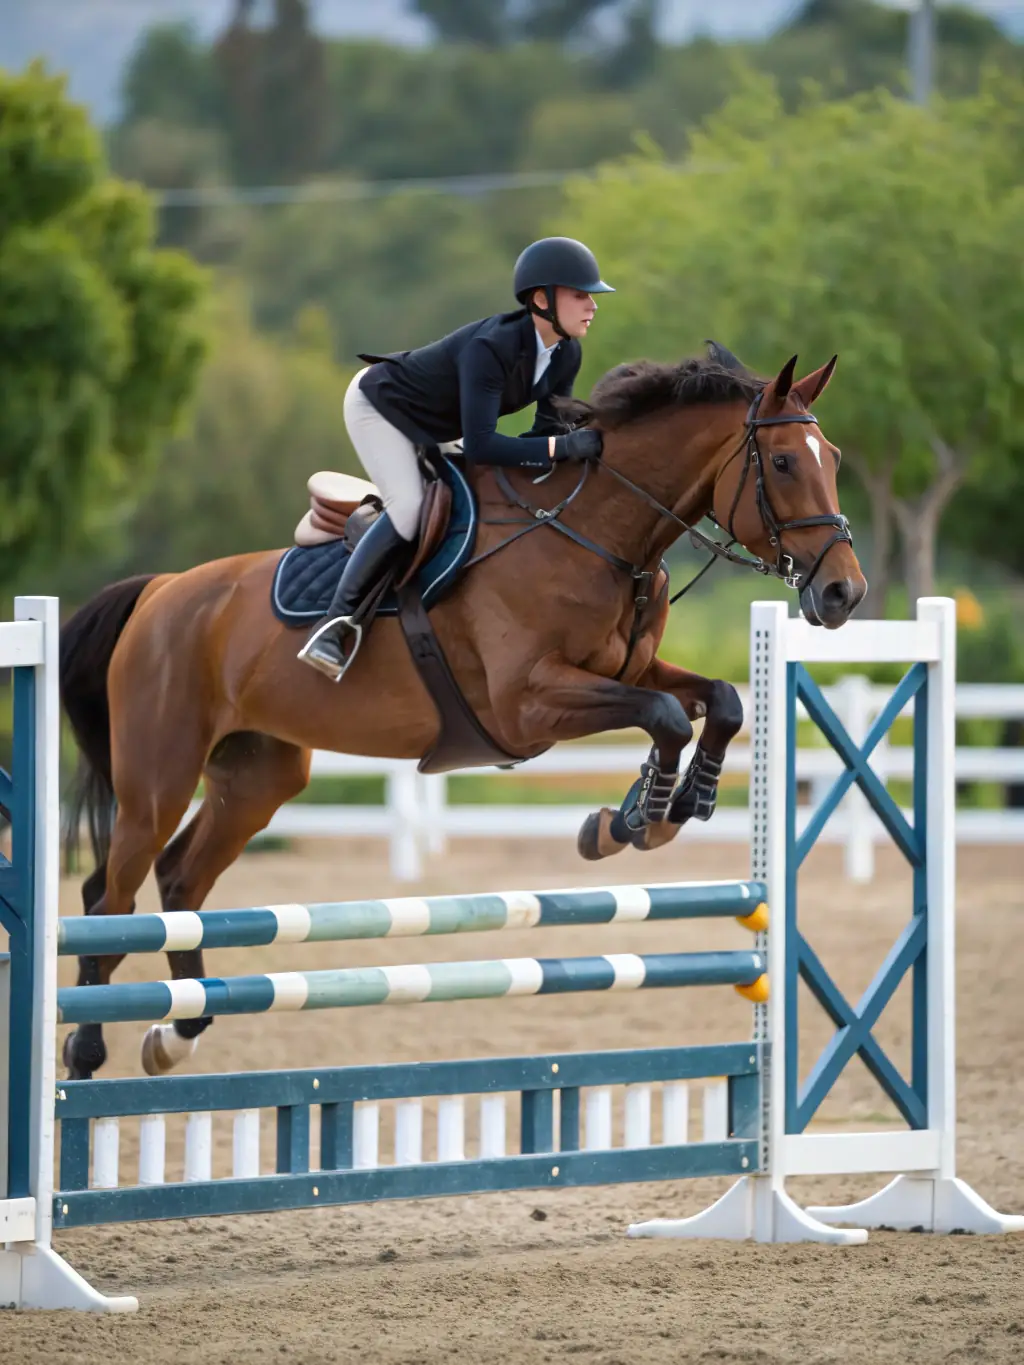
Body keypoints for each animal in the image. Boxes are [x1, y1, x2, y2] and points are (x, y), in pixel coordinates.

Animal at [59, 348, 866, 1079]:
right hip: (159, 776)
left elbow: (717, 700)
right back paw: (87, 1047)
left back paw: (177, 1033)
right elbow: (666, 714)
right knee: (110, 896)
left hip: (257, 775)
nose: (844, 594)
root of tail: (160, 590)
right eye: (784, 462)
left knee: (181, 881)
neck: (601, 534)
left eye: (834, 458)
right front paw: (641, 818)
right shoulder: (528, 703)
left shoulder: (627, 672)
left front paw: (657, 808)